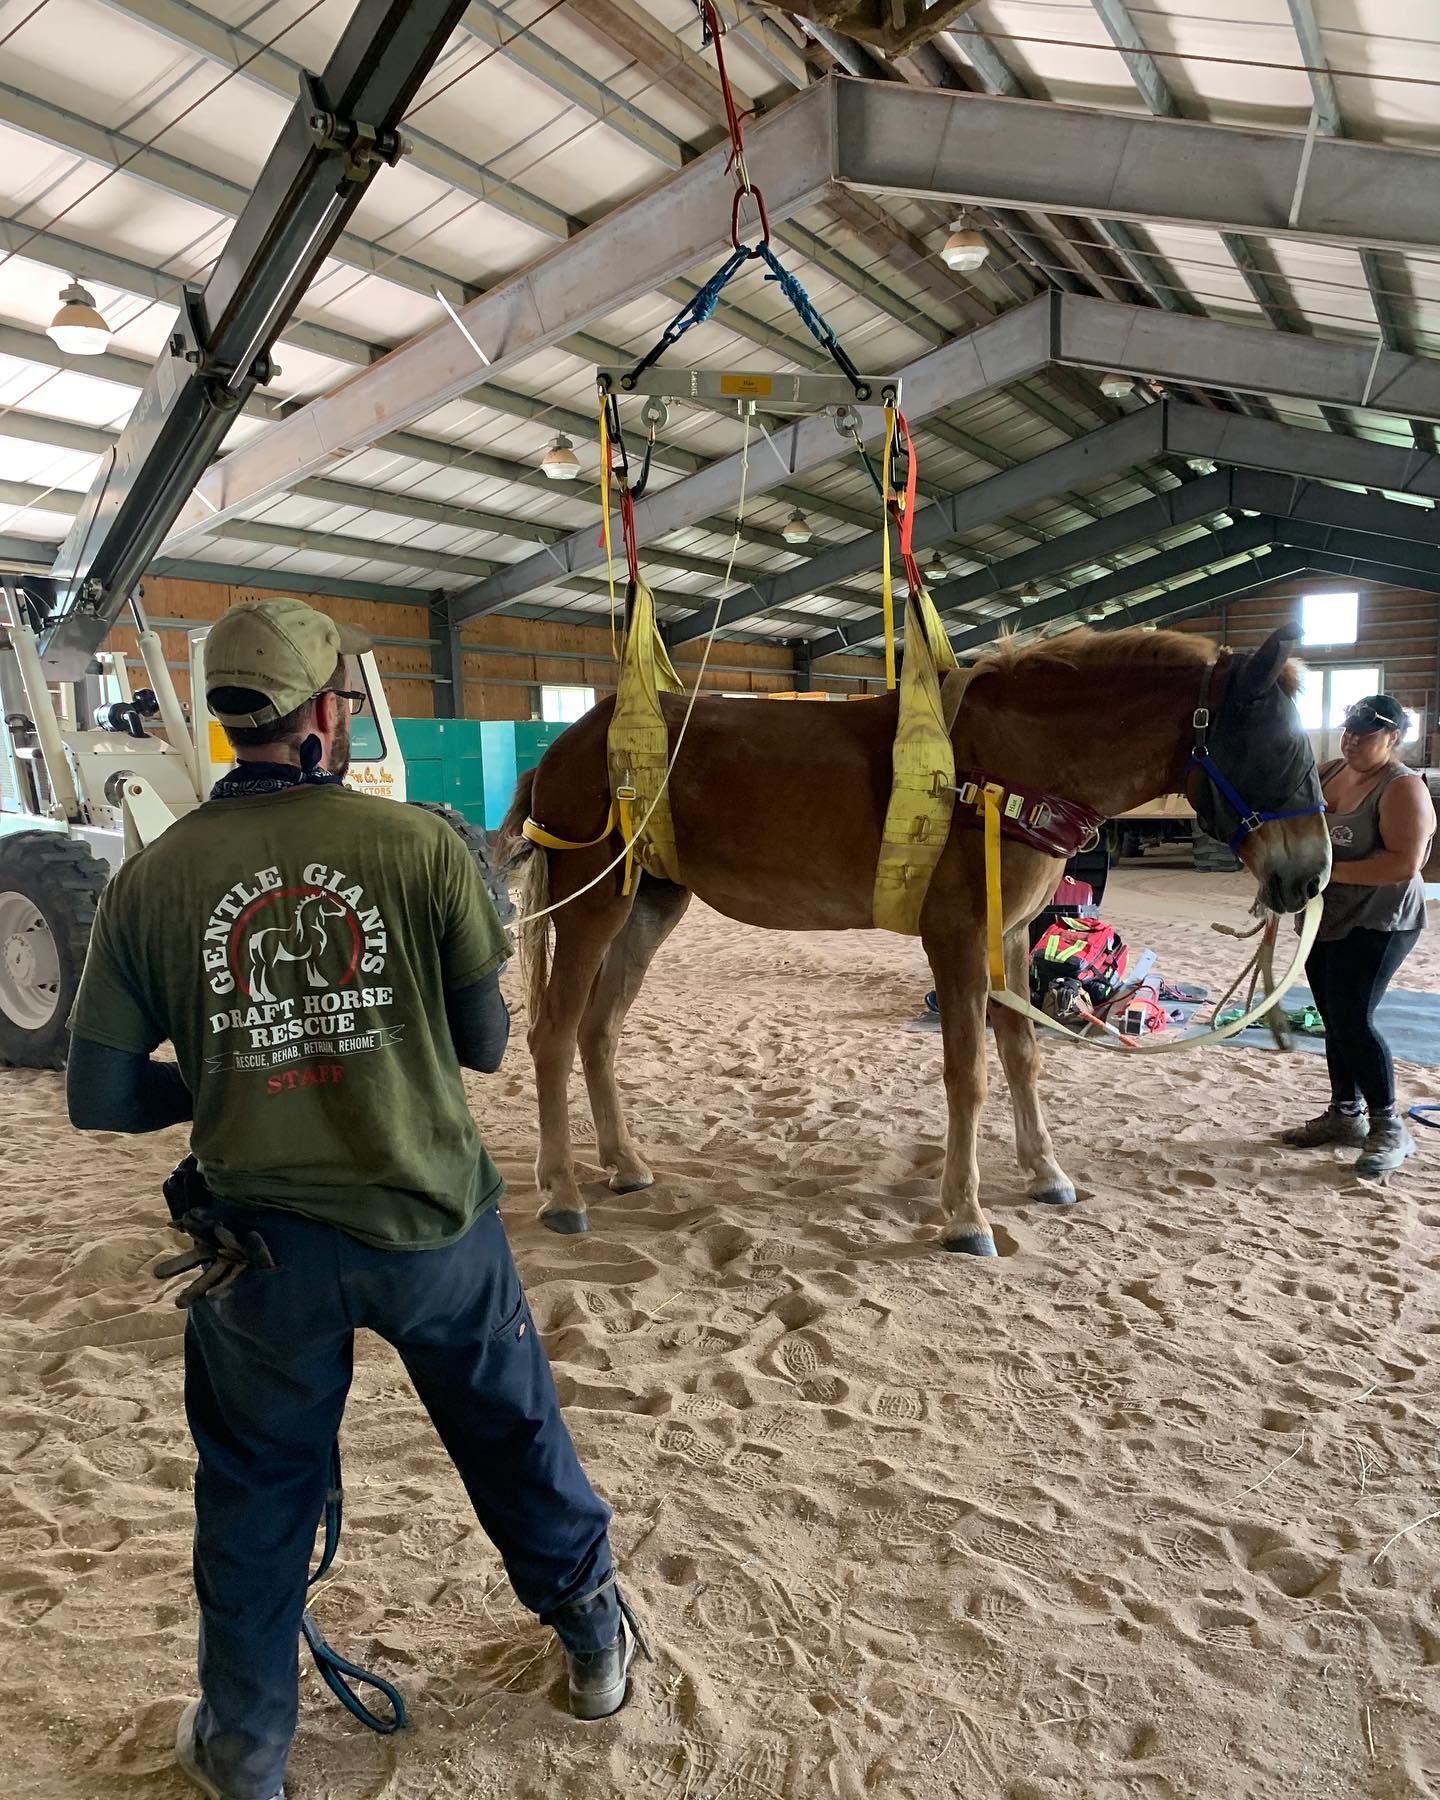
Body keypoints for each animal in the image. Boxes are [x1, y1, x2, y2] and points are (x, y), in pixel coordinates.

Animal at [500, 626, 1332, 1260]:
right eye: (1278, 749)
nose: (1312, 873)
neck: (1009, 766)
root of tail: (561, 749)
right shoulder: (957, 938)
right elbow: (968, 1073)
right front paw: (965, 1215)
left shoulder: (1012, 934)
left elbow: (1022, 1056)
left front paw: (1045, 1172)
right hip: (594, 908)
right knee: (554, 1034)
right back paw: (563, 1190)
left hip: (649, 906)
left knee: (599, 1031)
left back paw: (624, 1164)